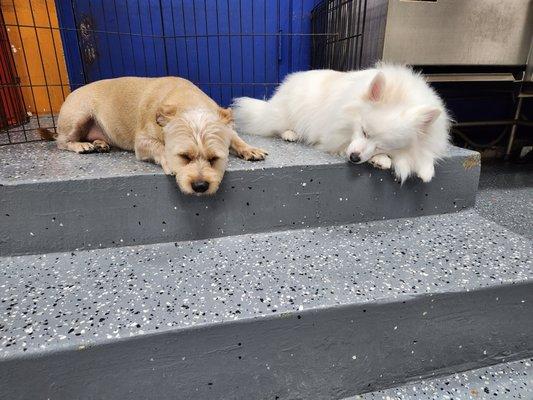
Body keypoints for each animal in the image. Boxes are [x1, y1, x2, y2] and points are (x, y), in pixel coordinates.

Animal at [38, 77, 266, 195]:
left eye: (214, 159)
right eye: (184, 157)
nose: (200, 186)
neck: (188, 100)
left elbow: (236, 138)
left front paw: (249, 148)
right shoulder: (141, 142)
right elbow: (159, 147)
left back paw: (99, 143)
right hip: (78, 115)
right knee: (61, 141)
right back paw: (80, 145)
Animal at [233, 64, 448, 183]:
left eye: (382, 145)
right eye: (364, 131)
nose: (354, 157)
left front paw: (426, 169)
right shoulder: (335, 137)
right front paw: (382, 160)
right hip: (285, 113)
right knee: (275, 126)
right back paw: (290, 133)